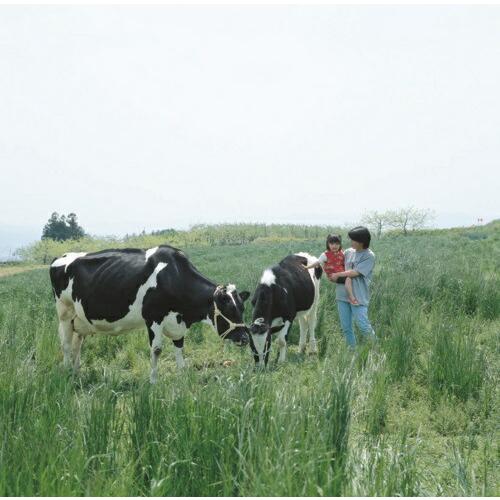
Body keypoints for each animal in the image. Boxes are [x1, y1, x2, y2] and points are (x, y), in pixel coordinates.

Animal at [50, 246, 250, 382]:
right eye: (228, 309)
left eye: (242, 308)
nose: (245, 338)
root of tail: (61, 257)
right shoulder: (153, 317)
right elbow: (157, 349)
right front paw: (153, 381)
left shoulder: (177, 323)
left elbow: (180, 348)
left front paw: (183, 374)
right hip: (64, 312)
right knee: (66, 344)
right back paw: (67, 373)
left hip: (80, 320)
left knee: (77, 345)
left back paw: (76, 372)